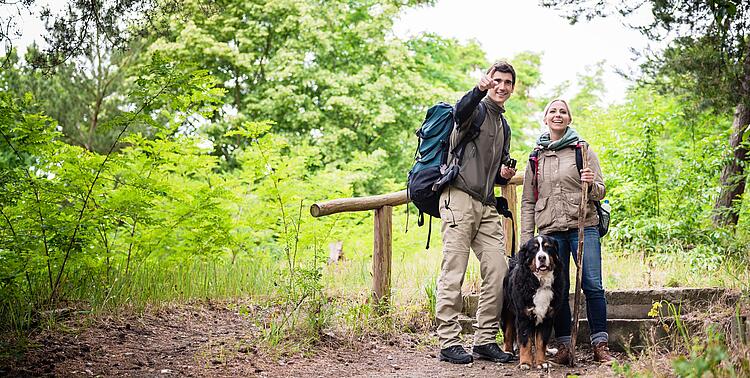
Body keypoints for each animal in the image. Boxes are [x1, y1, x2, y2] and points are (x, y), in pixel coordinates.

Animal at [502, 235, 568, 368]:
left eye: (548, 247)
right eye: (534, 249)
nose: (542, 257)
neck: (540, 283)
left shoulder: (547, 317)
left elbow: (541, 342)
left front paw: (542, 362)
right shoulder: (523, 316)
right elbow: (525, 342)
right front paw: (525, 362)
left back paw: (549, 350)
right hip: (507, 311)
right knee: (508, 333)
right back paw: (508, 351)